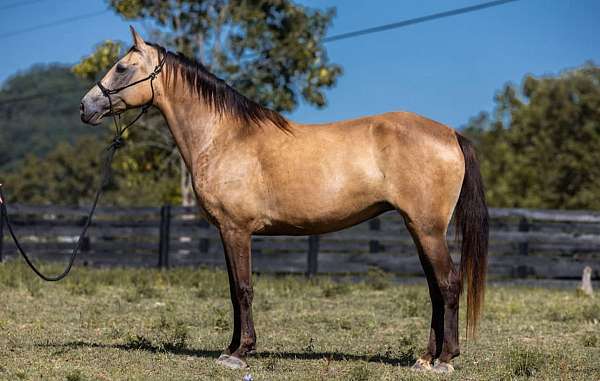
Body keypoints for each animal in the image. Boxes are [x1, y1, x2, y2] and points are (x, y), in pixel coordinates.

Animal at [79, 28, 488, 372]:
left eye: (122, 67)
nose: (86, 107)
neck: (223, 136)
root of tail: (450, 134)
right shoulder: (228, 232)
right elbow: (234, 291)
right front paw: (230, 349)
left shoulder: (236, 230)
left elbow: (243, 289)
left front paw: (241, 353)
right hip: (419, 229)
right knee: (435, 288)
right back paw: (426, 357)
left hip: (428, 229)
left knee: (448, 284)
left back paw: (445, 359)